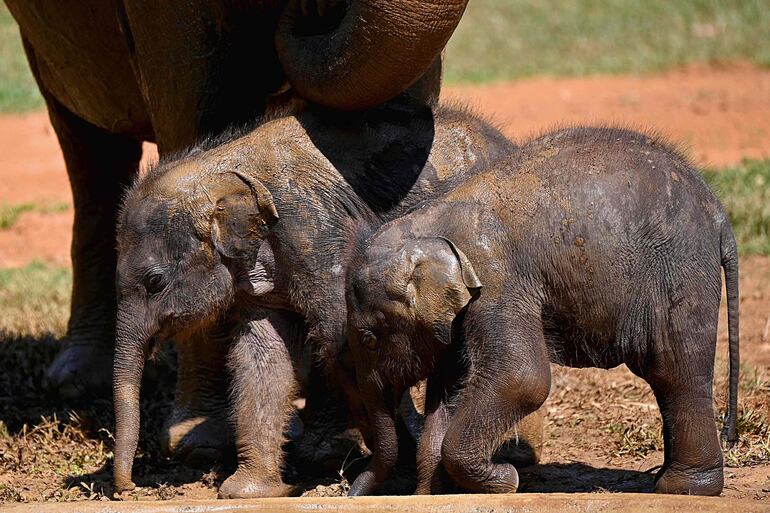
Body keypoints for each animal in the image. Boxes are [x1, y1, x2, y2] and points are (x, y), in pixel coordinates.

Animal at [344, 127, 736, 496]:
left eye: (370, 338)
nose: (348, 493)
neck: (428, 224)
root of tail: (719, 214)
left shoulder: (499, 285)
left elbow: (521, 378)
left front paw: (506, 479)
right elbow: (448, 391)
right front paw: (430, 496)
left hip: (680, 272)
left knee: (675, 371)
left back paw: (682, 488)